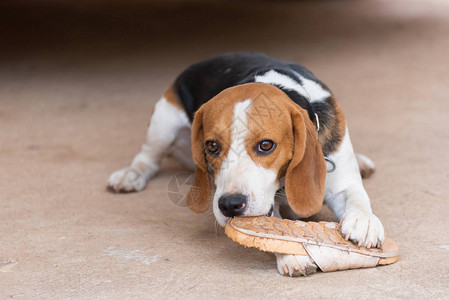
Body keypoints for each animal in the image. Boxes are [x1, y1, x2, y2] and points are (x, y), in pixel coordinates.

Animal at [107, 51, 384, 276]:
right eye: (212, 146)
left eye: (266, 145)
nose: (230, 205)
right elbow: (273, 228)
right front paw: (291, 255)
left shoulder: (342, 182)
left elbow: (357, 197)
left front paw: (364, 220)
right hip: (163, 124)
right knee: (147, 158)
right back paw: (130, 175)